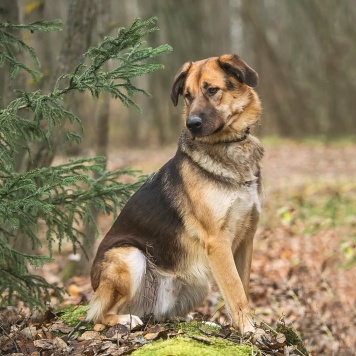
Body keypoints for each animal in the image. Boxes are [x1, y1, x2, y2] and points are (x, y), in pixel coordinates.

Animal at [87, 53, 262, 334]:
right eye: (187, 95)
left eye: (212, 90)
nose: (192, 124)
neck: (229, 145)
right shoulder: (217, 242)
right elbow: (235, 291)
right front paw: (249, 330)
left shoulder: (246, 238)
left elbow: (243, 287)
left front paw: (244, 327)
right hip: (129, 256)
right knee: (96, 315)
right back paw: (125, 319)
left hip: (198, 282)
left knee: (165, 315)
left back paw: (199, 322)